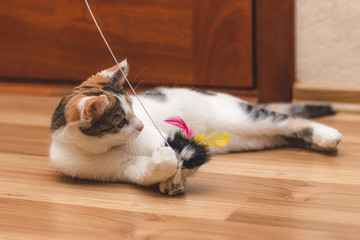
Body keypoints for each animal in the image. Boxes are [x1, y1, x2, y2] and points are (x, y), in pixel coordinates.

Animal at [49, 60, 342, 193]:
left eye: (135, 108)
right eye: (120, 121)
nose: (141, 126)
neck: (109, 148)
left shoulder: (163, 135)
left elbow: (179, 157)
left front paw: (176, 176)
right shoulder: (116, 168)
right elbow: (149, 170)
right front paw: (168, 175)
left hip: (248, 118)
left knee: (289, 120)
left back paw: (328, 136)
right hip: (255, 137)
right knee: (286, 133)